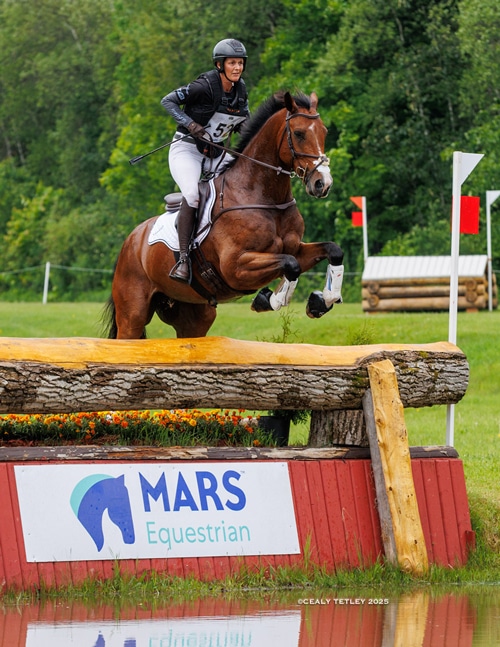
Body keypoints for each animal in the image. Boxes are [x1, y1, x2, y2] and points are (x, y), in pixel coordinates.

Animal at [104, 90, 344, 339]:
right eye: (298, 133)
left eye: (324, 132)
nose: (323, 184)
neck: (262, 196)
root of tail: (131, 240)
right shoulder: (236, 267)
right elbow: (290, 265)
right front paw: (268, 299)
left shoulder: (295, 248)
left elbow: (332, 251)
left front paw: (323, 300)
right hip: (132, 316)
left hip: (194, 315)